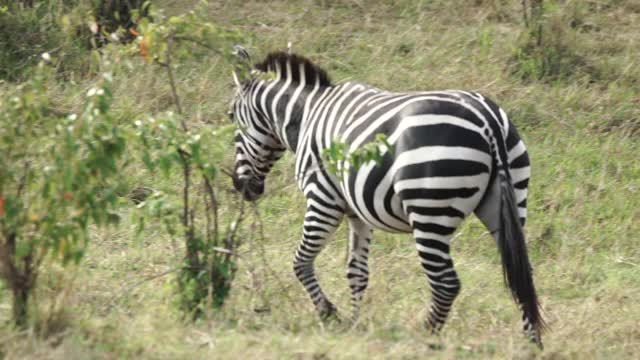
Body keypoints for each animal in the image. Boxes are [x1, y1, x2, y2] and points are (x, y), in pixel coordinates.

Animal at [228, 47, 544, 346]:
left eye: (230, 118)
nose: (241, 186)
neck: (305, 115)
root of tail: (486, 118)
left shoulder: (323, 197)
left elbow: (300, 262)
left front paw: (330, 315)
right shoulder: (356, 211)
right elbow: (356, 272)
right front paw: (355, 325)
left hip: (429, 209)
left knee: (446, 284)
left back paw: (425, 337)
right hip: (510, 199)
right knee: (522, 274)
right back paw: (531, 344)